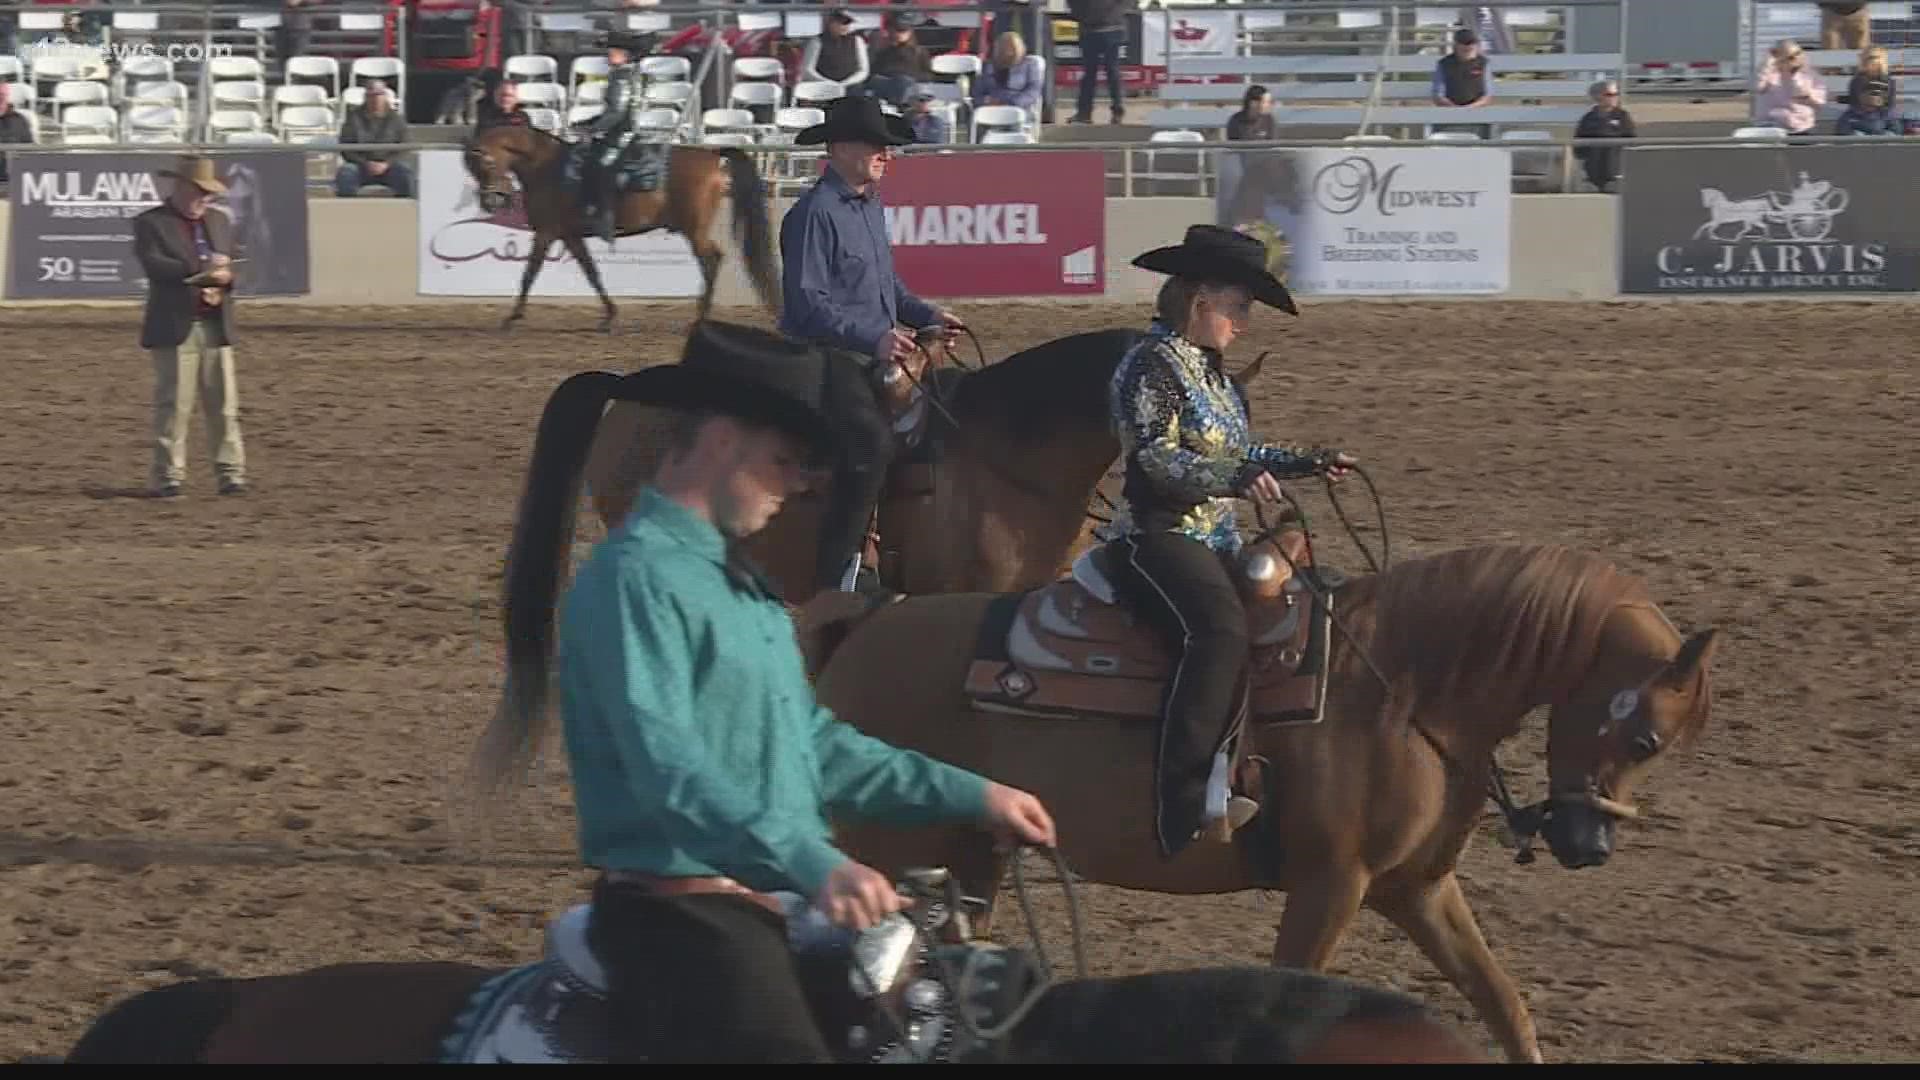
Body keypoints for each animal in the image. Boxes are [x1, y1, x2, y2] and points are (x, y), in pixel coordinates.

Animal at [462, 121, 779, 328]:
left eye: (485, 163)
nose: (491, 202)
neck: (547, 168)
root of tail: (712, 156)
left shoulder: (546, 233)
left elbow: (529, 273)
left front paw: (512, 316)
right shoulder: (569, 235)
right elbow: (591, 273)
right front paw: (610, 315)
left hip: (694, 230)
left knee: (712, 260)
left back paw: (702, 317)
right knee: (713, 260)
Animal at [794, 538, 1728, 1060]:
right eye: (1644, 740)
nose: (1587, 846)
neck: (1404, 689)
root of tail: (865, 621)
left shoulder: (1416, 888)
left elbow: (1506, 1007)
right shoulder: (1331, 885)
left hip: (968, 860)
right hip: (883, 851)